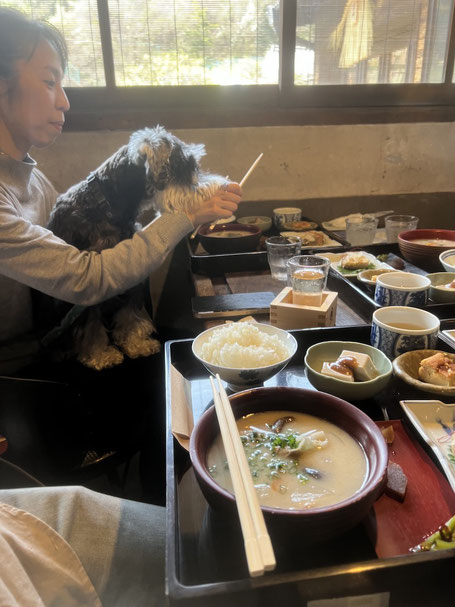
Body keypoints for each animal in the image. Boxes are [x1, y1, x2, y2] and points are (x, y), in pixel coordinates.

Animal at [41, 124, 227, 370]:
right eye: (183, 166)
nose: (216, 185)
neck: (107, 204)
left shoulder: (133, 280)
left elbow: (130, 315)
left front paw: (136, 345)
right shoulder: (86, 291)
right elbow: (91, 326)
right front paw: (100, 355)